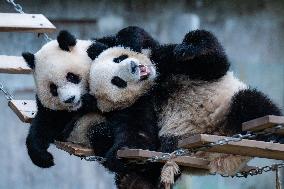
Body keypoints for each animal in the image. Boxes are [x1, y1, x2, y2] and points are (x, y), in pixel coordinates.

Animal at [21, 30, 106, 168]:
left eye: (71, 76)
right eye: (53, 88)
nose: (70, 99)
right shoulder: (51, 110)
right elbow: (44, 124)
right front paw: (44, 158)